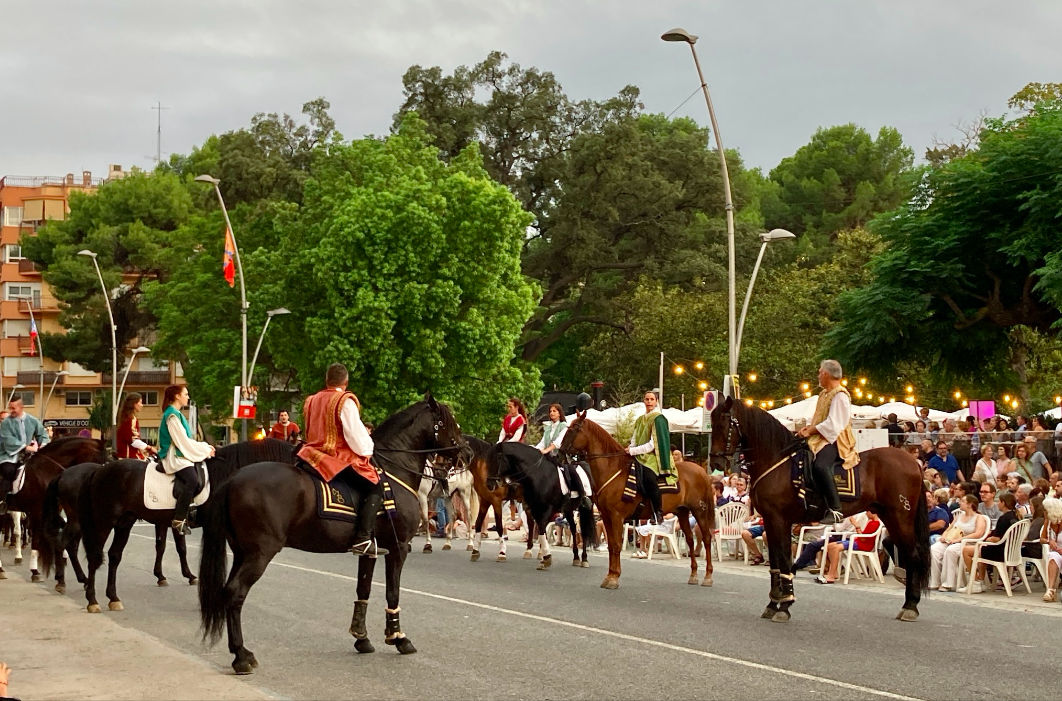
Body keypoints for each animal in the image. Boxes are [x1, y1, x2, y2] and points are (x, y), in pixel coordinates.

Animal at [76, 437, 295, 611]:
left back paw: (113, 597)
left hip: (124, 522)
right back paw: (92, 600)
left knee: (114, 556)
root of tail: (100, 470)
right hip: (105, 521)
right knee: (95, 556)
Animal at [199, 395, 465, 675]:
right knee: (235, 593)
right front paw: (398, 638)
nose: (467, 451)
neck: (394, 472)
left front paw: (361, 638)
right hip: (259, 553)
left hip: (242, 552)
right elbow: (392, 592)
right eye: (450, 422)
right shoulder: (398, 546)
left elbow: (363, 589)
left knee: (228, 591)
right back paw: (241, 655)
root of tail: (234, 478)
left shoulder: (370, 550)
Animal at [556, 416, 713, 590]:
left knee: (706, 538)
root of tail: (701, 471)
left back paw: (708, 576)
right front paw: (610, 576)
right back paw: (693, 575)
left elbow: (617, 545)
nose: (558, 454)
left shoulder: (616, 516)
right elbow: (612, 545)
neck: (613, 469)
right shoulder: (607, 517)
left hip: (699, 511)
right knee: (690, 540)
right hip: (683, 511)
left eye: (573, 429)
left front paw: (614, 578)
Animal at [713, 397, 930, 620]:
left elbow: (783, 560)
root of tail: (912, 461)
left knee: (913, 555)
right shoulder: (772, 522)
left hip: (901, 517)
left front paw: (784, 605)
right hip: (891, 517)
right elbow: (776, 562)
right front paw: (774, 603)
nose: (716, 462)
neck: (776, 462)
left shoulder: (779, 520)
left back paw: (910, 606)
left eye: (722, 424)